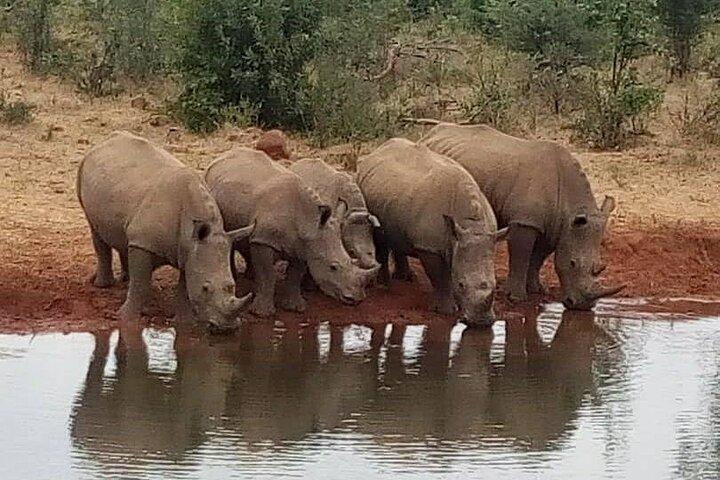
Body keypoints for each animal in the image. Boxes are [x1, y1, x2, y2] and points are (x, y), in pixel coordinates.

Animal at [76, 131, 254, 330]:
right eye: (206, 288)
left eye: (232, 286)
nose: (227, 327)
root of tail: (102, 143)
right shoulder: (144, 243)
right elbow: (140, 284)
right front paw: (126, 318)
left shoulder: (190, 250)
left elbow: (185, 287)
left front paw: (184, 323)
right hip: (83, 173)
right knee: (96, 231)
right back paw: (103, 285)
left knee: (124, 238)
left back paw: (124, 280)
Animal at [205, 148, 374, 317]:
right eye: (333, 267)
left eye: (350, 259)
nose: (356, 299)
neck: (308, 222)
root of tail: (224, 155)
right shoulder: (264, 240)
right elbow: (267, 274)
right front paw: (262, 313)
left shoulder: (303, 245)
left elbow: (295, 275)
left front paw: (296, 308)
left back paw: (250, 276)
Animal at [357, 138, 507, 327]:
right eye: (461, 285)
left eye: (495, 284)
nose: (481, 323)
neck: (472, 225)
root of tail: (376, 151)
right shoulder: (429, 247)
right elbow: (440, 277)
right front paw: (446, 310)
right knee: (379, 237)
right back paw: (384, 285)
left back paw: (406, 278)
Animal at [420, 123, 623, 310]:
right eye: (573, 263)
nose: (582, 306)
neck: (570, 208)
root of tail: (430, 134)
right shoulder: (525, 221)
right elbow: (521, 256)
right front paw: (516, 297)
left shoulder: (555, 226)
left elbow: (538, 258)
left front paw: (537, 289)